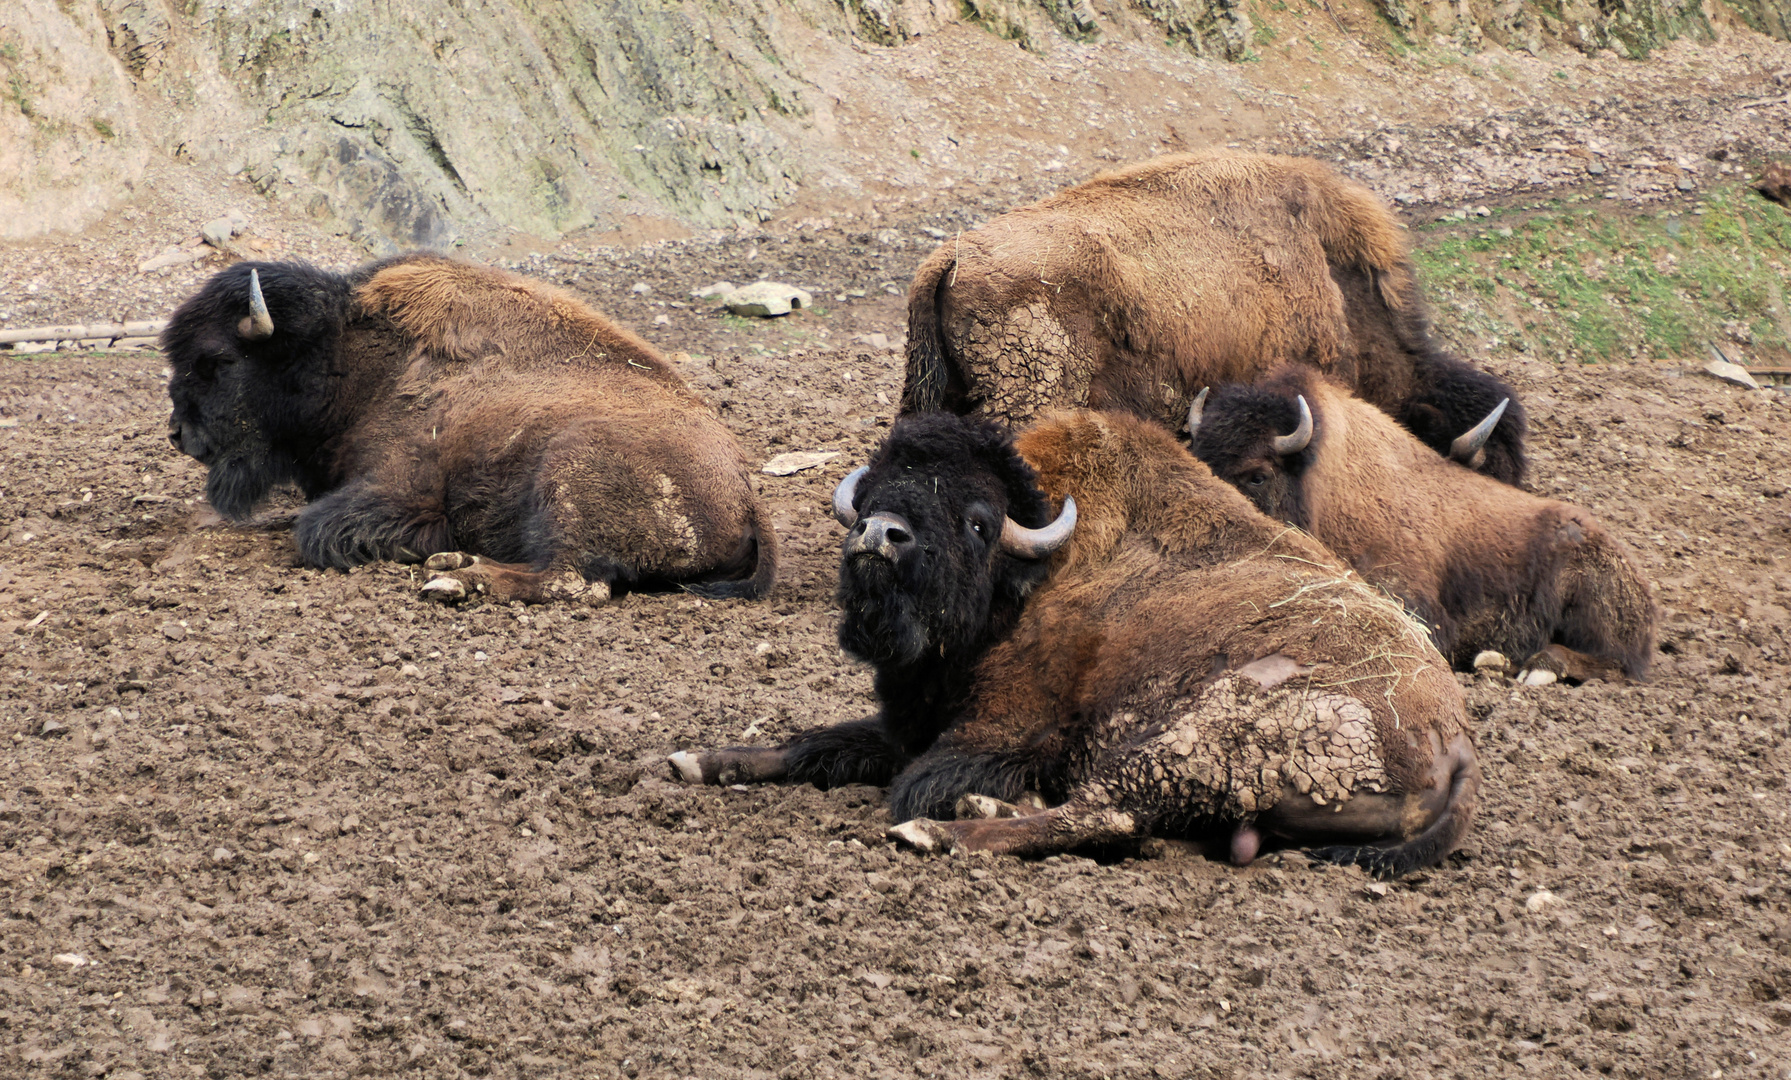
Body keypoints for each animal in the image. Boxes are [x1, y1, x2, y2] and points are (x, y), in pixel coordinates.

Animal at [166, 256, 777, 605]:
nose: (177, 433)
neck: (348, 353)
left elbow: (315, 528)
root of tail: (747, 499)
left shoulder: (401, 493)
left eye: (216, 360)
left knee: (572, 581)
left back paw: (454, 577)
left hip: (567, 472)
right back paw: (452, 566)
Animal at [666, 410, 1475, 874]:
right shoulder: (908, 721)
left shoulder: (995, 730)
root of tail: (1456, 744)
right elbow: (810, 743)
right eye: (870, 495)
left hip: (1196, 738)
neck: (1027, 575)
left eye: (976, 520)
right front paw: (694, 760)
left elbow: (914, 778)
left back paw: (938, 833)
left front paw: (930, 813)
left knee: (1107, 813)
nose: (878, 535)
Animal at [1189, 367, 1647, 680]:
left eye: (1257, 475)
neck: (1323, 486)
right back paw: (1494, 661)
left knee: (1617, 664)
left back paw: (1535, 668)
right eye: (1198, 458)